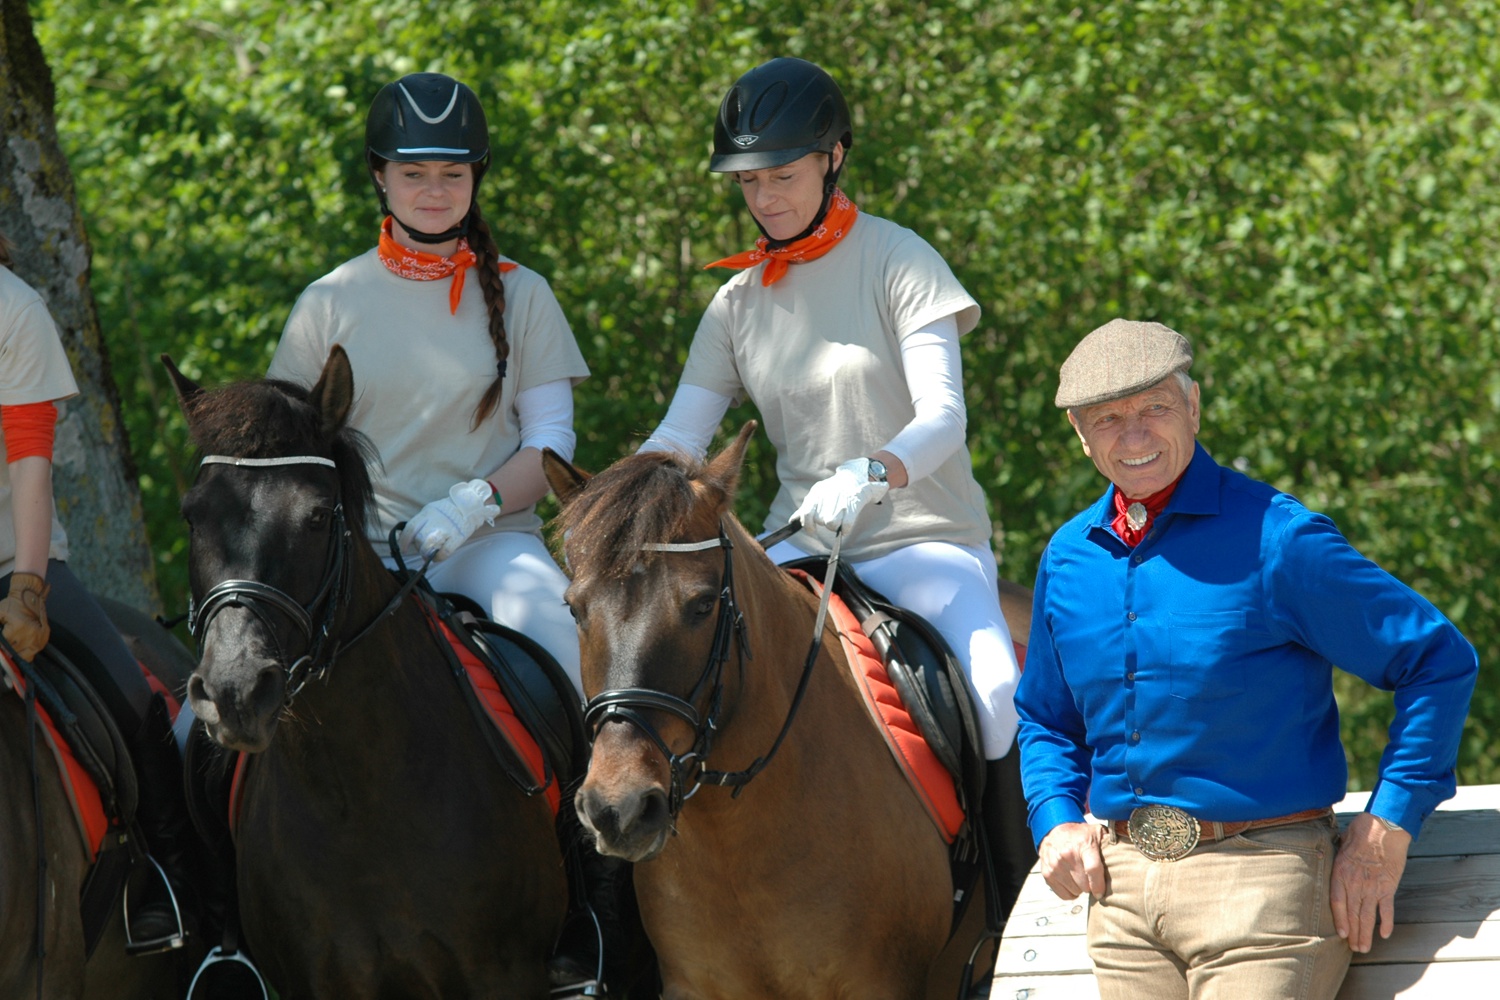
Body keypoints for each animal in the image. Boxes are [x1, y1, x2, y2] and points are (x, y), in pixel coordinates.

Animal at [543, 422, 1034, 1000]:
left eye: (703, 604)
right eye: (575, 608)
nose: (617, 808)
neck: (736, 833)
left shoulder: (880, 983)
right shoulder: (693, 985)